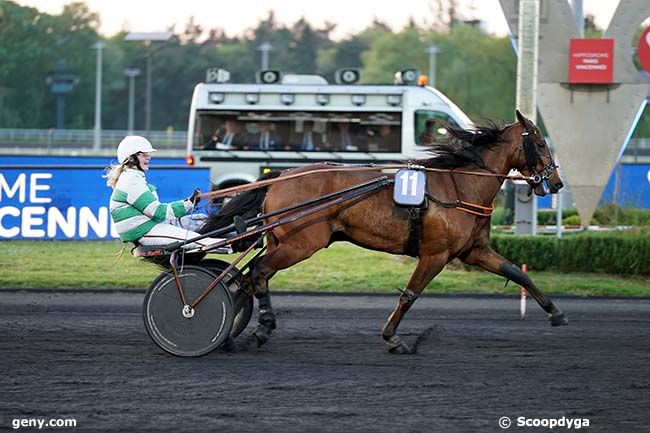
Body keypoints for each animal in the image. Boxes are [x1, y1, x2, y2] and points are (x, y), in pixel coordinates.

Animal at [200, 109, 564, 352]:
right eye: (541, 144)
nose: (557, 183)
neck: (460, 187)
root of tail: (280, 176)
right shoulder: (436, 254)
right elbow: (410, 294)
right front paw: (392, 337)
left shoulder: (474, 251)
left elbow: (518, 272)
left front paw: (556, 313)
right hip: (301, 243)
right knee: (258, 272)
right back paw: (258, 327)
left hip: (284, 241)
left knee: (247, 278)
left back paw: (234, 334)